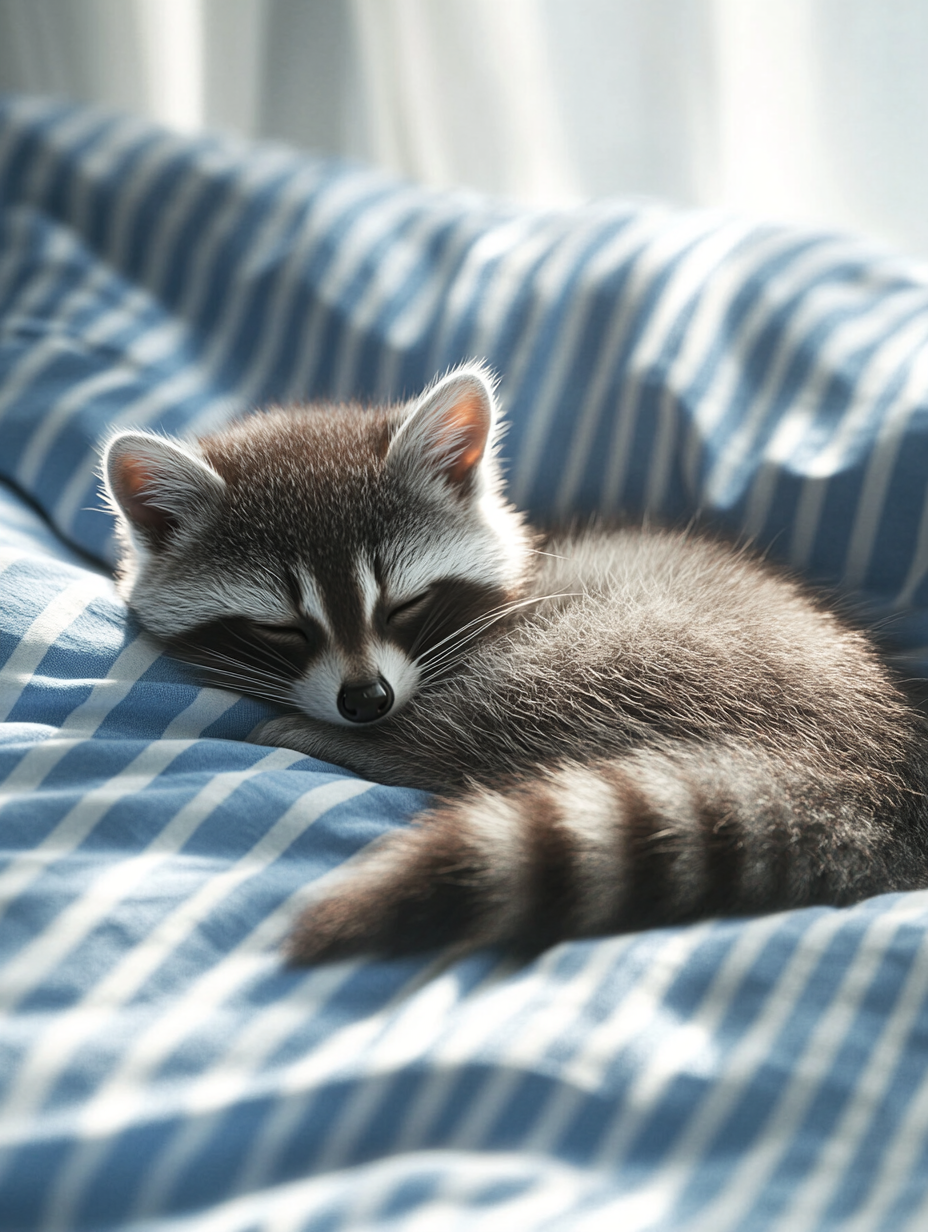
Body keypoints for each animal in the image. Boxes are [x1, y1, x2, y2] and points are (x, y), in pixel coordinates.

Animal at [99, 364, 926, 960]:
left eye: (402, 605)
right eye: (282, 628)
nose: (366, 703)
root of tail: (872, 771)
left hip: (638, 651)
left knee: (478, 727)